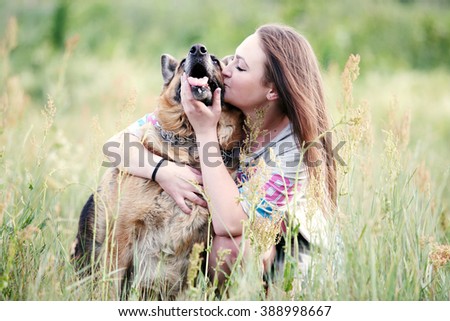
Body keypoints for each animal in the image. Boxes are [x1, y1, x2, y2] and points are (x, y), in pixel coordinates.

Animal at [71, 43, 243, 298]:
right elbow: (110, 286)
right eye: (183, 62)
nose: (197, 49)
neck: (192, 146)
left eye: (215, 60)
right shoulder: (121, 236)